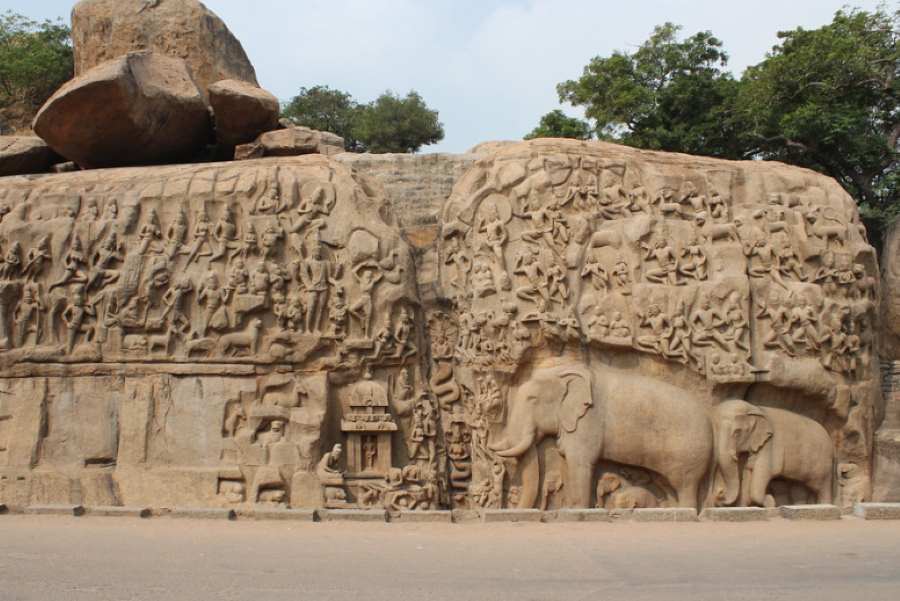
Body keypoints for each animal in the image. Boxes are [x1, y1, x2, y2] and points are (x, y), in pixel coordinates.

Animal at [488, 360, 712, 506]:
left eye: (532, 399)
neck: (567, 370)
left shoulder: (588, 420)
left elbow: (580, 463)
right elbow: (569, 462)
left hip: (688, 454)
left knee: (685, 486)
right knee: (667, 484)